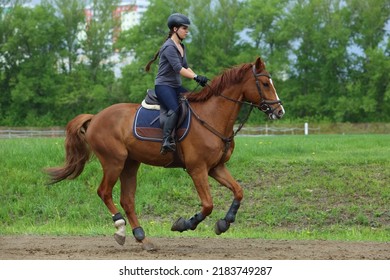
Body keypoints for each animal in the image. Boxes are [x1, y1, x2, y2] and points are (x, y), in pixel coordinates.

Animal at [45, 57, 284, 252]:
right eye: (265, 84)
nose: (279, 111)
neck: (212, 116)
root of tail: (95, 117)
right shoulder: (197, 169)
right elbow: (207, 205)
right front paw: (184, 224)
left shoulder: (216, 168)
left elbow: (239, 192)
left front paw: (224, 223)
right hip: (114, 161)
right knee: (104, 192)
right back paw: (120, 229)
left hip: (130, 163)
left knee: (127, 200)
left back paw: (142, 238)